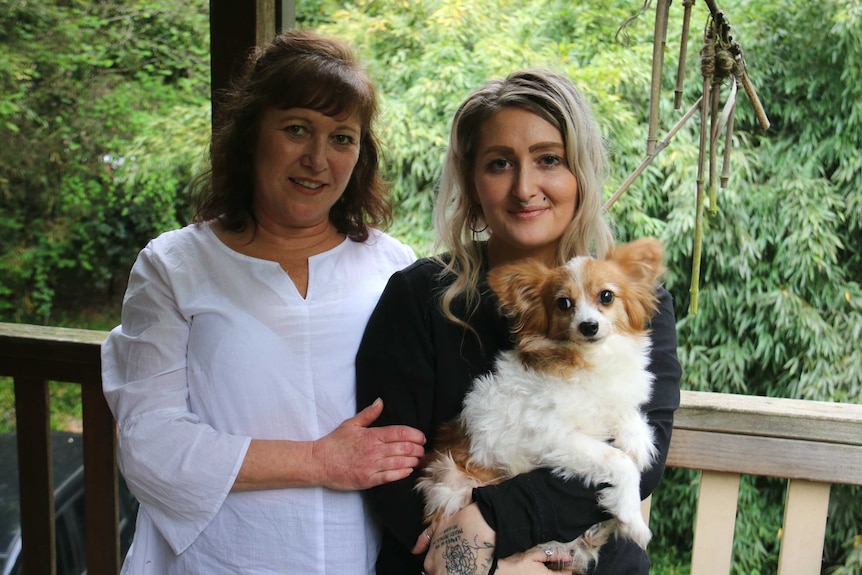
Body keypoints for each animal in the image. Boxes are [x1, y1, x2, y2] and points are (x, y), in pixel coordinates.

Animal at [418, 237, 668, 572]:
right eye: (564, 303)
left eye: (606, 296)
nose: (588, 326)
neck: (588, 360)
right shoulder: (553, 439)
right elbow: (619, 462)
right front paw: (632, 519)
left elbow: (628, 417)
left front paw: (638, 441)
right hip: (453, 485)